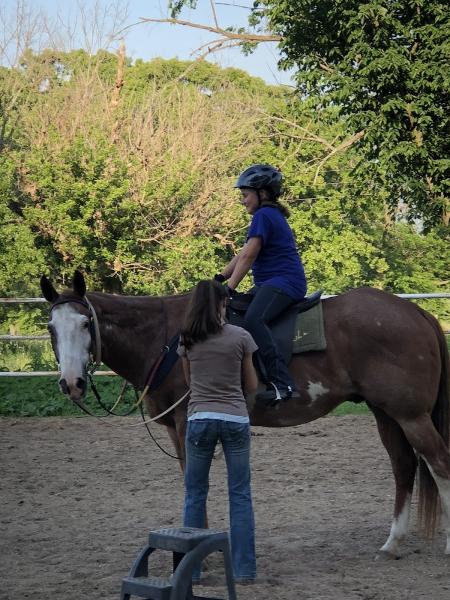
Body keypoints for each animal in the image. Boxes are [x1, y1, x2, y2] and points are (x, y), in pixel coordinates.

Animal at [39, 272, 450, 556]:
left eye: (85, 324)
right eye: (51, 328)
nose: (71, 383)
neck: (166, 338)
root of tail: (416, 312)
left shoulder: (188, 423)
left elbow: (195, 482)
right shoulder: (177, 429)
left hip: (411, 415)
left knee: (439, 464)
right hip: (387, 414)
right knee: (405, 467)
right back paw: (392, 543)